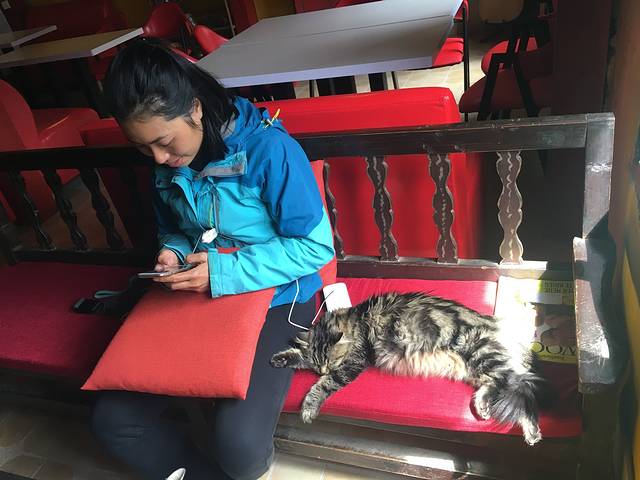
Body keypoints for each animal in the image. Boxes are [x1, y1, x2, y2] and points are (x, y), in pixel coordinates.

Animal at [271, 291, 551, 445]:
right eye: (319, 365)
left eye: (331, 364)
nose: (322, 370)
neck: (354, 320)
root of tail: (498, 325)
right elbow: (300, 356)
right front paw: (280, 359)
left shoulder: (354, 361)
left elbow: (322, 387)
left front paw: (309, 409)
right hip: (473, 367)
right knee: (503, 387)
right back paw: (499, 416)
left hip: (482, 354)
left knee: (515, 385)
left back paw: (525, 428)